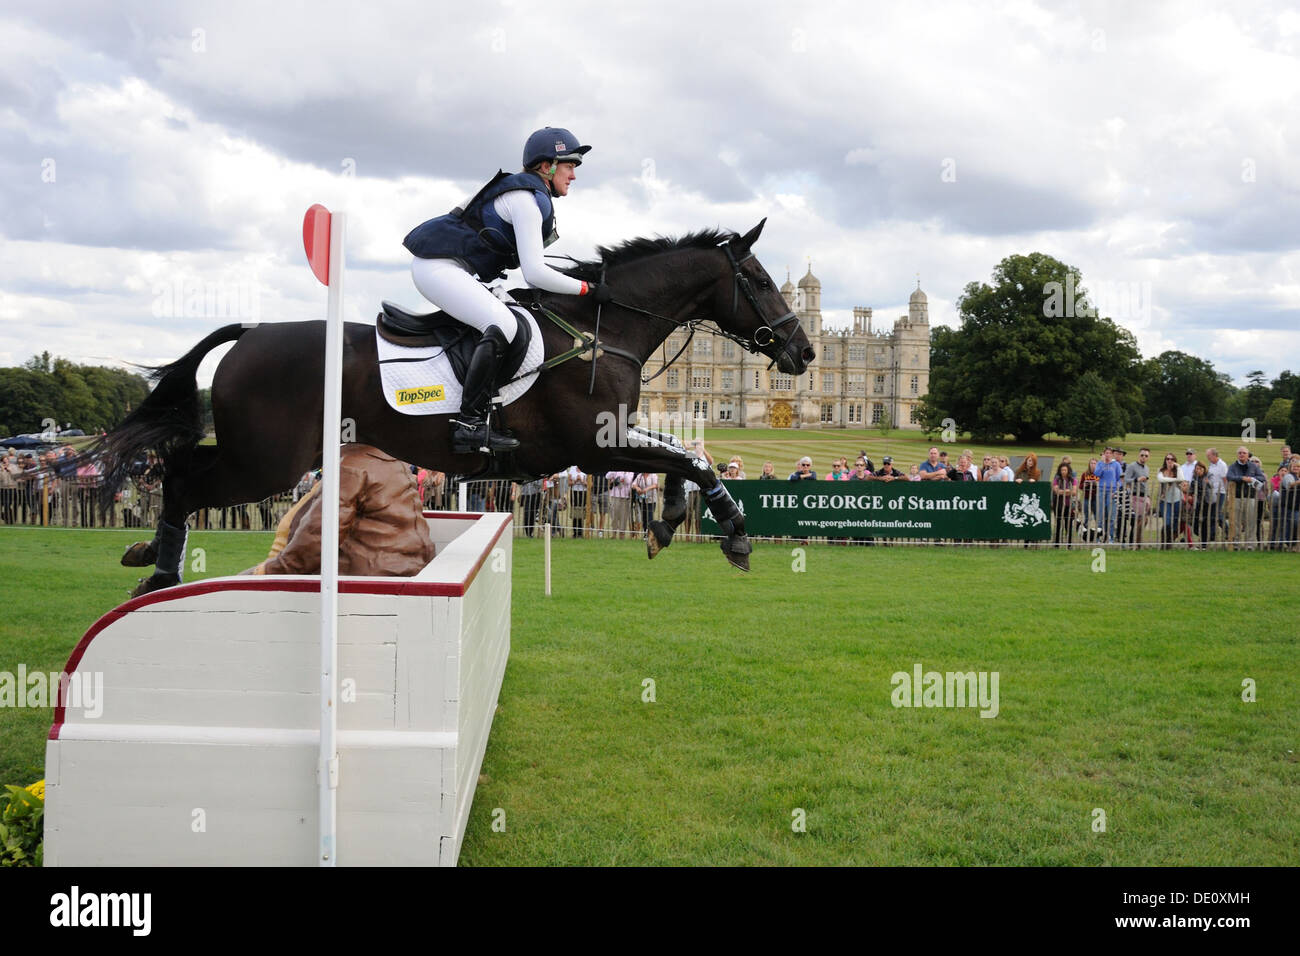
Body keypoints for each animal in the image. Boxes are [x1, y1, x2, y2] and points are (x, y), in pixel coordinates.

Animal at [98, 217, 811, 595]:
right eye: (761, 280)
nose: (802, 352)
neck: (600, 329)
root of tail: (251, 331)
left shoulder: (609, 443)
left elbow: (679, 457)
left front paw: (666, 521)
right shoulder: (593, 444)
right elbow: (693, 459)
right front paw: (734, 533)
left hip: (254, 453)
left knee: (177, 467)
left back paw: (147, 556)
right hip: (267, 462)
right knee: (183, 479)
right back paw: (158, 574)